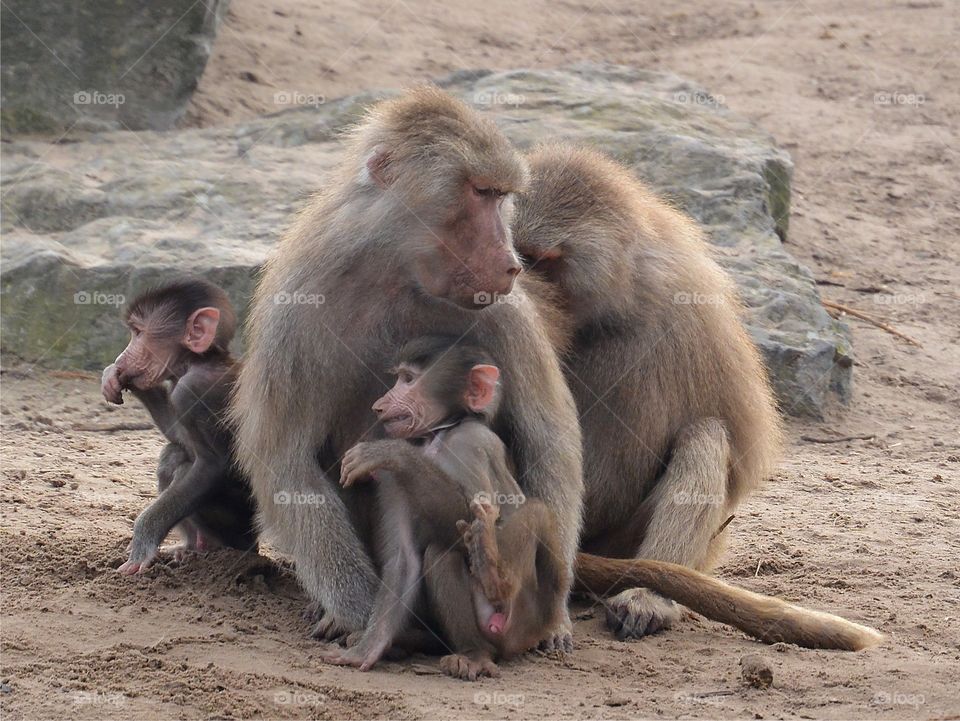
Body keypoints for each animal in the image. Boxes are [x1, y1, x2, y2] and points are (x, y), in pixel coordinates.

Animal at [101, 277, 258, 574]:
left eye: (138, 332)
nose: (122, 356)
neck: (199, 360)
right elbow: (177, 434)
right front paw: (116, 377)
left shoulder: (192, 390)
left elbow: (213, 466)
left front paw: (142, 542)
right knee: (172, 454)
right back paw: (190, 549)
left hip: (237, 526)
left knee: (185, 467)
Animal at [317, 335, 570, 680]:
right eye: (399, 377)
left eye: (409, 379)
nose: (380, 404)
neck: (436, 439)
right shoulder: (393, 484)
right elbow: (405, 558)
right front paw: (365, 651)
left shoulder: (471, 442)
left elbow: (481, 515)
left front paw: (392, 452)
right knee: (440, 555)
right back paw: (456, 648)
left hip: (530, 614)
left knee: (535, 513)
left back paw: (494, 581)